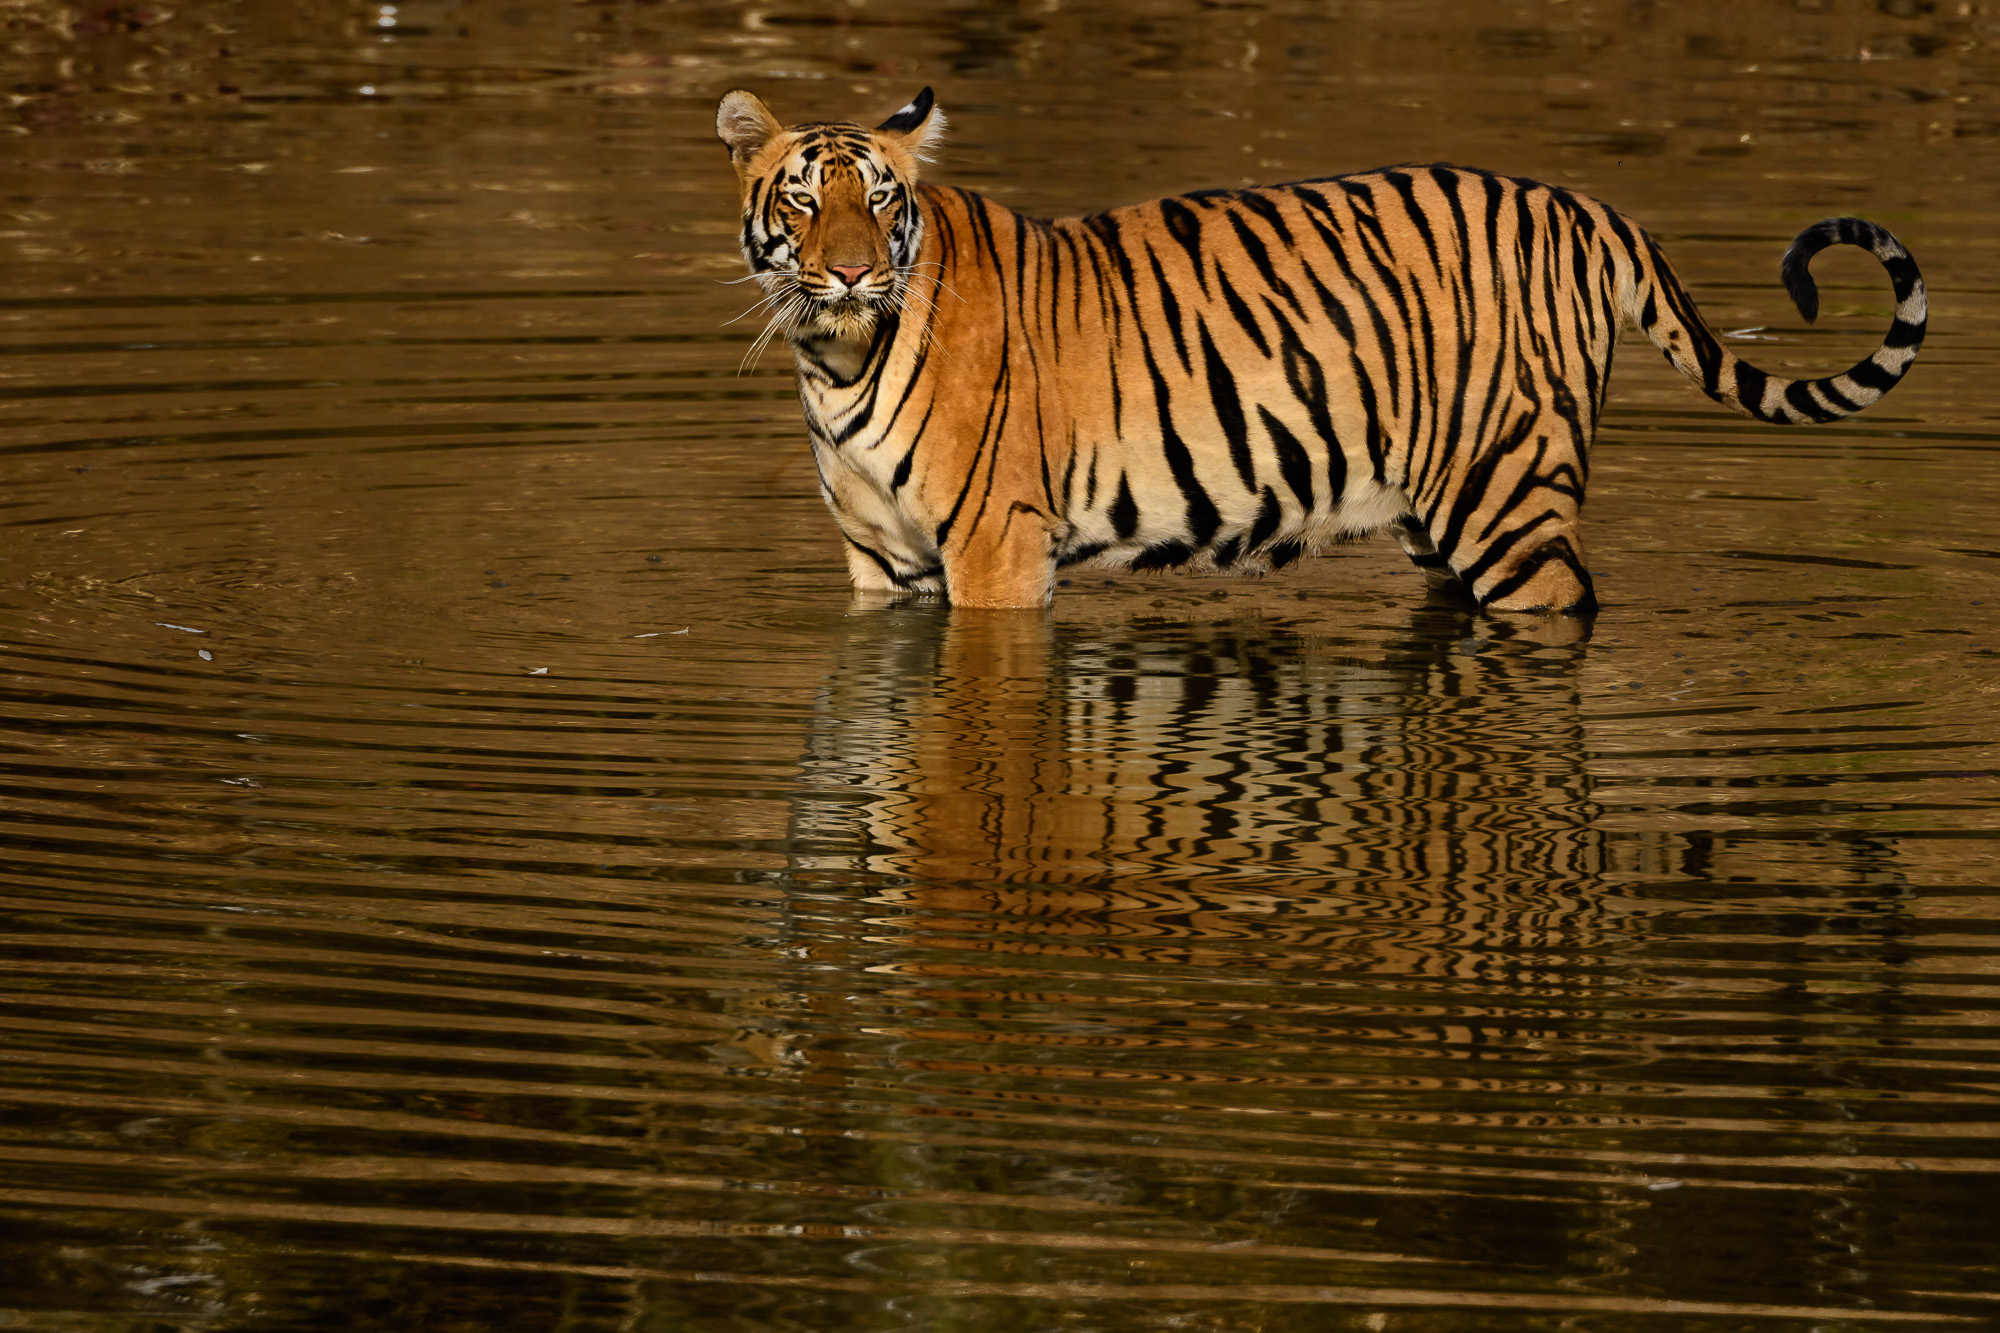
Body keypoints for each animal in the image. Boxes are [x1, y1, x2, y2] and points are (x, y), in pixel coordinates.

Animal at [716, 85, 1920, 616]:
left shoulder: (997, 548)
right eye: (802, 199)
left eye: (879, 200)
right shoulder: (885, 563)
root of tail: (1584, 206)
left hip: (1508, 494)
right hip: (1440, 507)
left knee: (1562, 602)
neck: (836, 359)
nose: (850, 273)